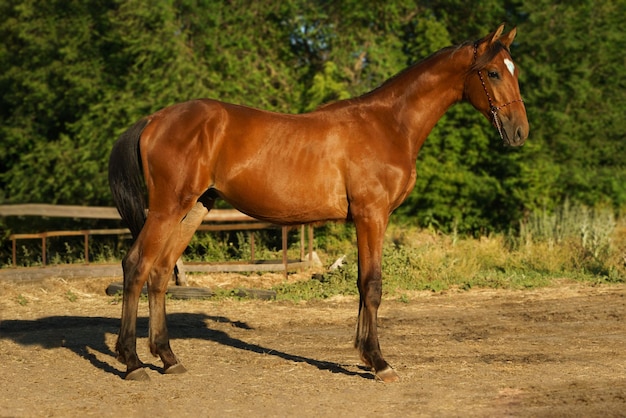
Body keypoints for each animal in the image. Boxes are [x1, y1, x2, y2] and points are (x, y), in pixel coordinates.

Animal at [108, 22, 528, 382]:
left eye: (514, 69)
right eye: (493, 73)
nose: (519, 132)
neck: (389, 124)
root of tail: (154, 118)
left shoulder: (369, 219)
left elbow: (361, 283)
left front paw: (364, 355)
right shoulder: (371, 215)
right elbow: (372, 284)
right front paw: (379, 363)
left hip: (194, 208)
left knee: (161, 273)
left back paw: (168, 358)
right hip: (167, 208)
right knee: (136, 266)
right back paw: (132, 362)